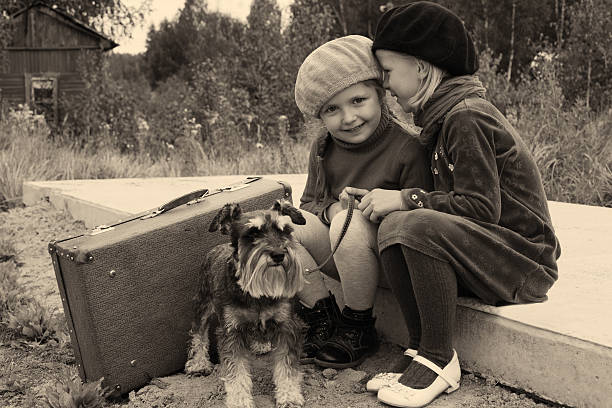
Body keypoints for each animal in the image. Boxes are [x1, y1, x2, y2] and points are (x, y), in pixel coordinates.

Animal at [183, 200, 304, 408]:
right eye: (253, 233)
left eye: (285, 231)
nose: (279, 254)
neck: (258, 294)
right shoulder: (230, 331)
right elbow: (236, 371)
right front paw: (239, 399)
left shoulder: (286, 325)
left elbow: (287, 366)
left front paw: (289, 395)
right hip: (202, 306)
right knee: (198, 334)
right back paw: (198, 364)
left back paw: (261, 345)